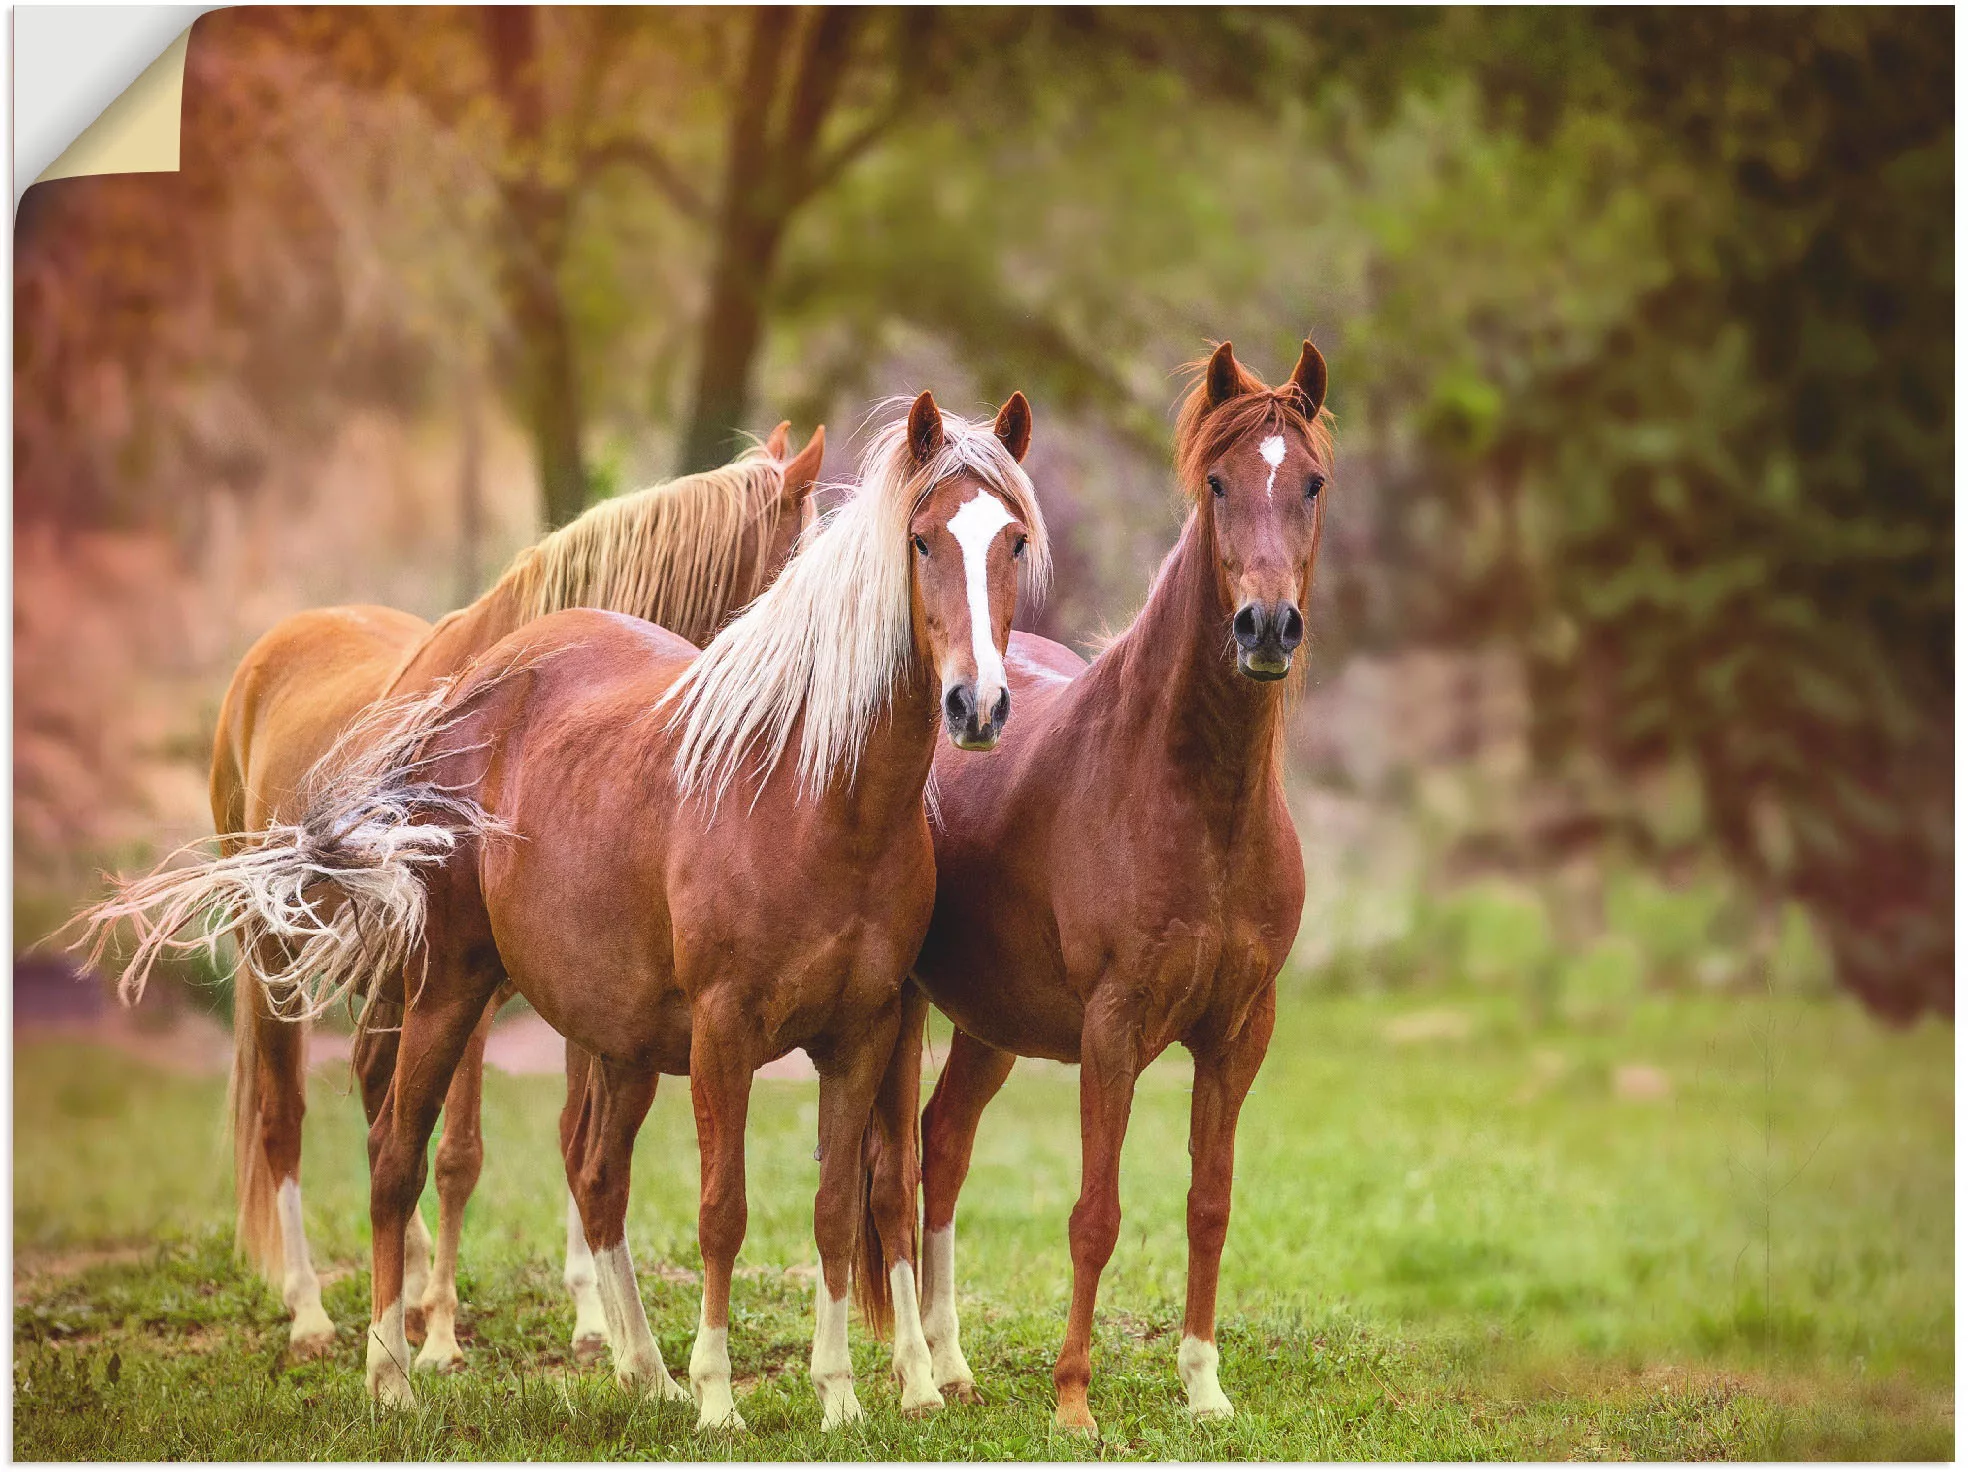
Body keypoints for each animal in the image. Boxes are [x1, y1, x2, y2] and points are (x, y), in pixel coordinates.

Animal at [82, 419, 822, 1361]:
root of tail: (274, 647)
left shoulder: (578, 980)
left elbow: (564, 1140)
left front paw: (593, 1326)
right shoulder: (467, 974)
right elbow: (460, 1151)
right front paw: (437, 1336)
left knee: (375, 1093)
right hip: (277, 952)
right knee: (288, 1116)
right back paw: (316, 1311)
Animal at [861, 338, 1338, 1432]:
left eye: (1311, 482)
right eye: (1217, 483)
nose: (1265, 627)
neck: (1197, 802)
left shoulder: (1240, 1031)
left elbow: (1210, 1204)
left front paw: (1204, 1386)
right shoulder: (1112, 1030)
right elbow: (1096, 1212)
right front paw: (1074, 1400)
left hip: (992, 1023)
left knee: (944, 1144)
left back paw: (953, 1364)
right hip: (902, 1011)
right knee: (896, 1171)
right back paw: (917, 1375)